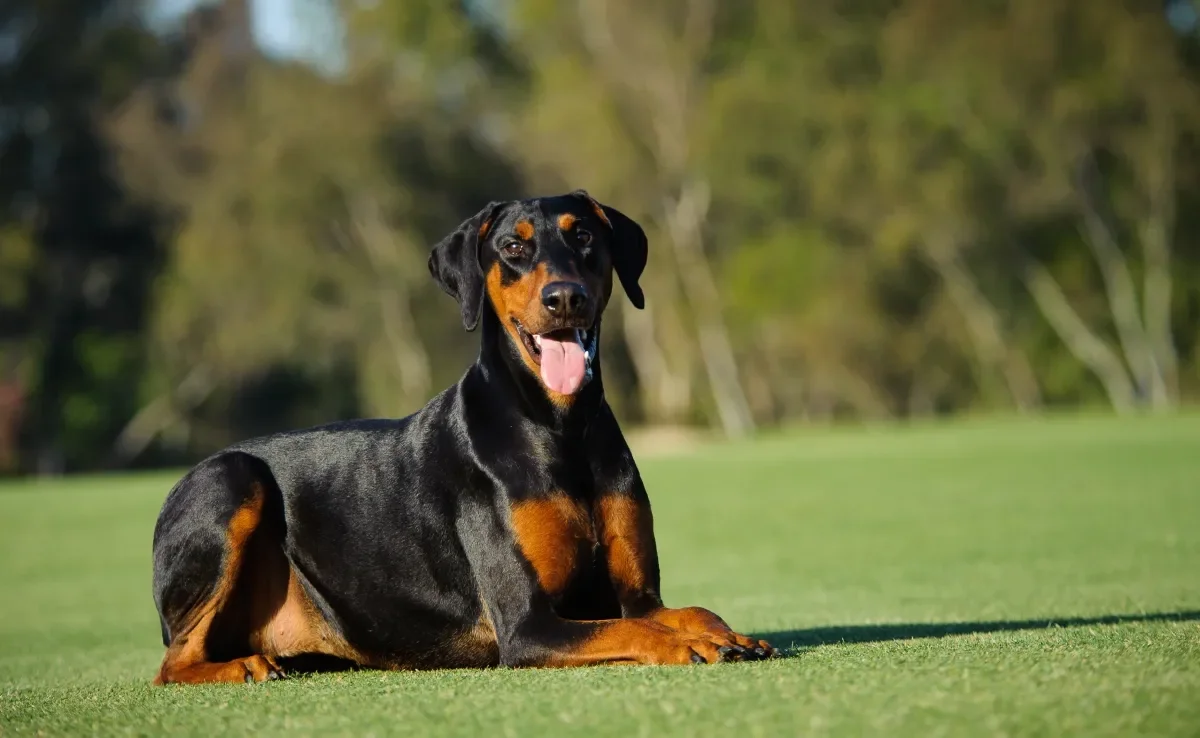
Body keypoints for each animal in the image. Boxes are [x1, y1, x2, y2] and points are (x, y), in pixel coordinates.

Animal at [150, 190, 772, 686]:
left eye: (584, 237)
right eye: (514, 247)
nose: (565, 297)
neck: (560, 428)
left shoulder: (638, 597)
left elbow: (686, 611)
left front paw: (725, 633)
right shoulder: (527, 625)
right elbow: (637, 632)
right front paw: (688, 644)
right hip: (231, 477)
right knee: (172, 664)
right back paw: (240, 666)